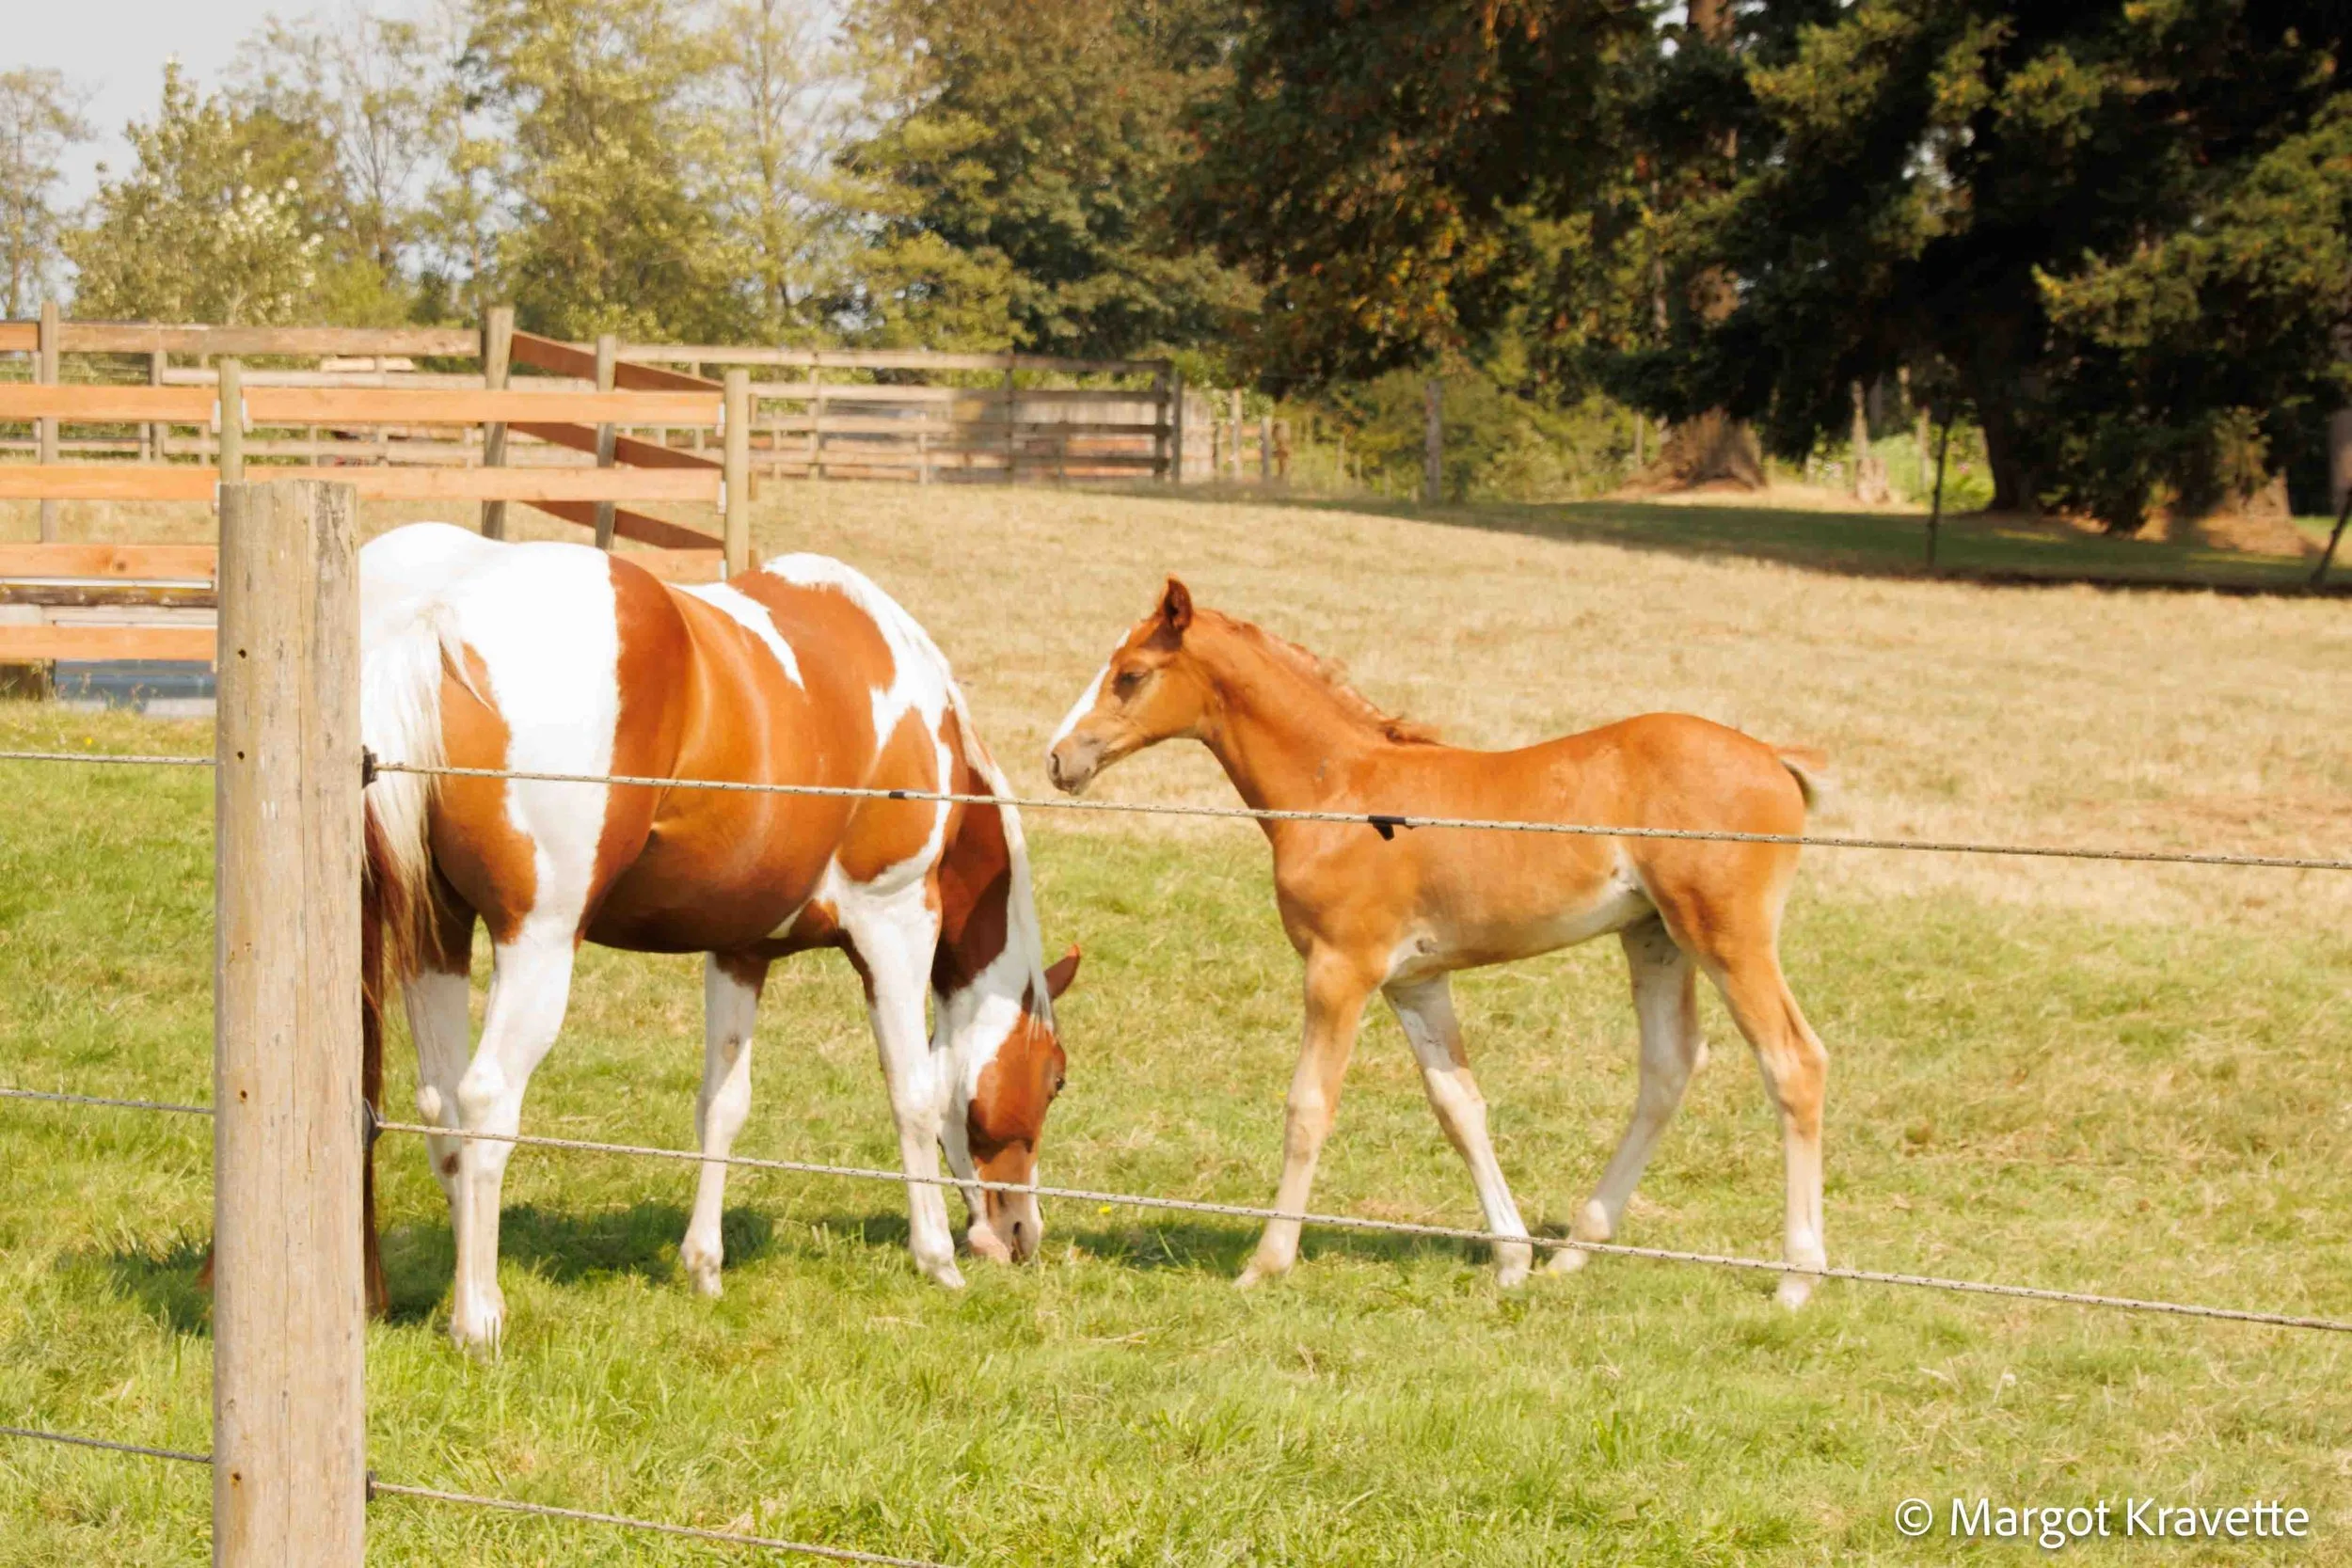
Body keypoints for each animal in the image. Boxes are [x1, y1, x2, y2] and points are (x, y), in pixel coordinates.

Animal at [357, 522, 1079, 1349]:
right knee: (485, 1102)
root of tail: (433, 609)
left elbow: (722, 1104)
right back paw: (479, 1316)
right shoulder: (894, 925)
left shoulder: (740, 951)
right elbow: (914, 1094)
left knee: (440, 1105)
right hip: (535, 943)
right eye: (1054, 1077)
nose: (1021, 1232)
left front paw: (704, 1265)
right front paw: (936, 1258)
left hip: (435, 936)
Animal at [1044, 579, 1831, 1306]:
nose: (1059, 758)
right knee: (1668, 1067)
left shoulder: (1340, 969)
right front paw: (1512, 1258)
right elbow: (1459, 1106)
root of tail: (1773, 755)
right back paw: (1575, 1250)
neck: (1338, 789)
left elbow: (1308, 1107)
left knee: (1793, 1061)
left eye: (1131, 673)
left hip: (1727, 935)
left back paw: (1797, 1276)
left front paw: (1265, 1263)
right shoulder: (1413, 981)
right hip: (1655, 937)